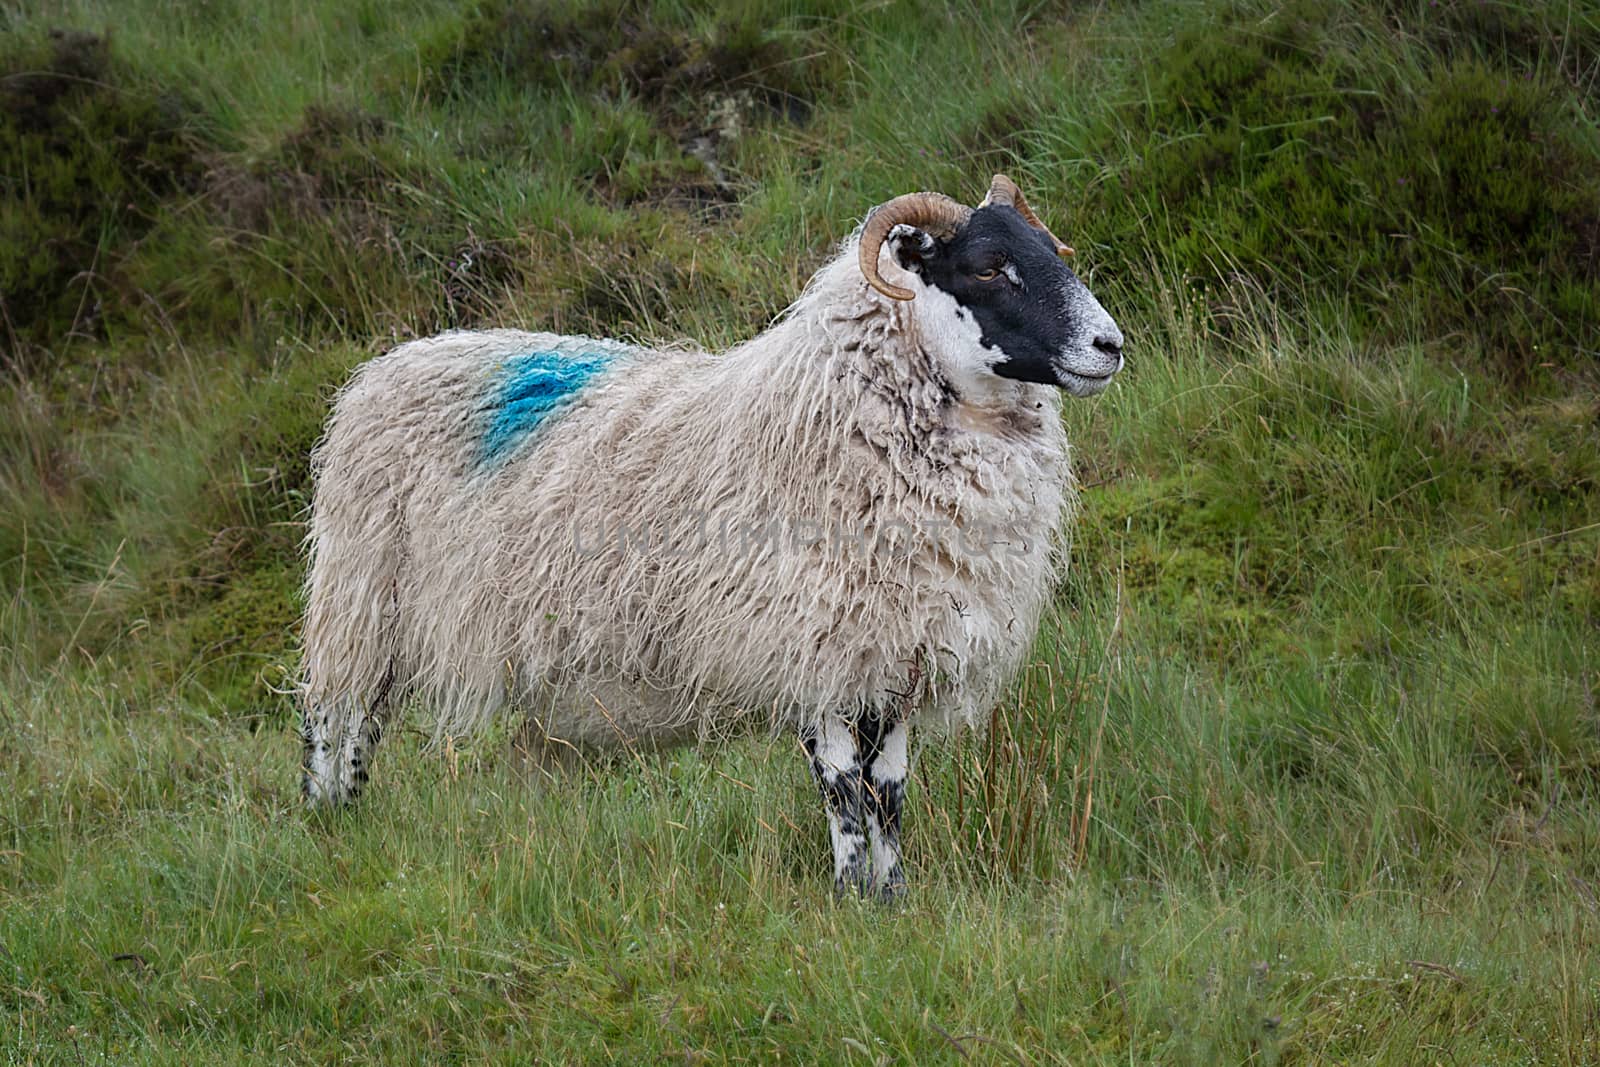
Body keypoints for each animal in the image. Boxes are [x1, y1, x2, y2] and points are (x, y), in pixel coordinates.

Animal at [300, 177, 1126, 902]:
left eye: (1053, 251)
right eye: (989, 266)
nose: (1109, 344)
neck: (830, 414)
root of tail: (386, 367)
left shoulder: (894, 651)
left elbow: (888, 791)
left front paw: (894, 896)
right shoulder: (812, 648)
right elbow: (842, 789)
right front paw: (850, 895)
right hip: (360, 596)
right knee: (336, 718)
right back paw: (325, 821)